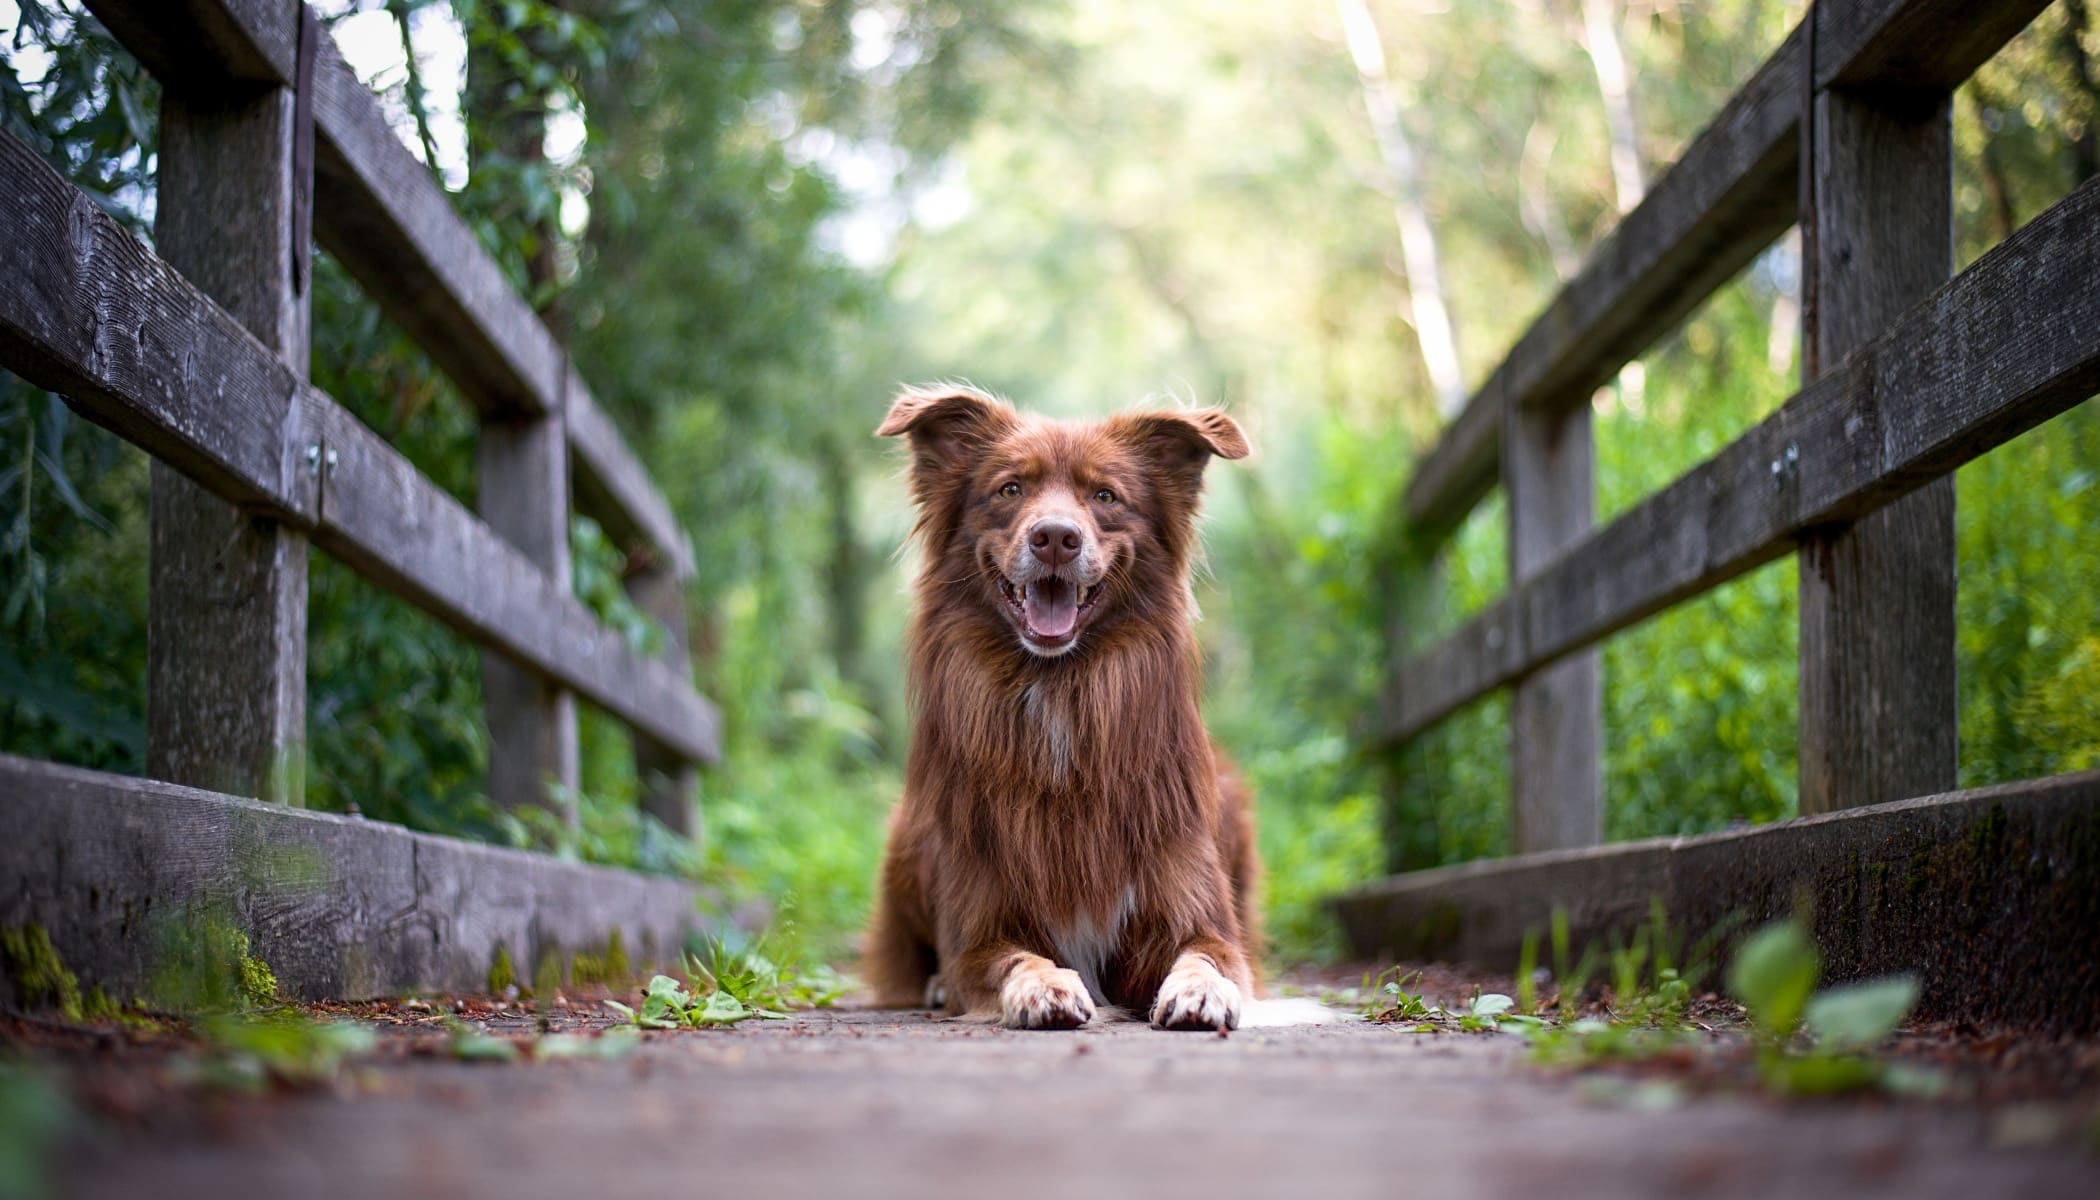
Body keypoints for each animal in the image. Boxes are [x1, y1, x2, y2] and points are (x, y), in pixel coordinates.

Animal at [856, 384, 1251, 1033]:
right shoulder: (979, 929)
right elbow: (1014, 958)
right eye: (1010, 489)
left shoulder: (1194, 912)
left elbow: (1207, 955)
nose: (1057, 538)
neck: (1061, 688)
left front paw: (1202, 992)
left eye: (1105, 496)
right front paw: (1043, 987)